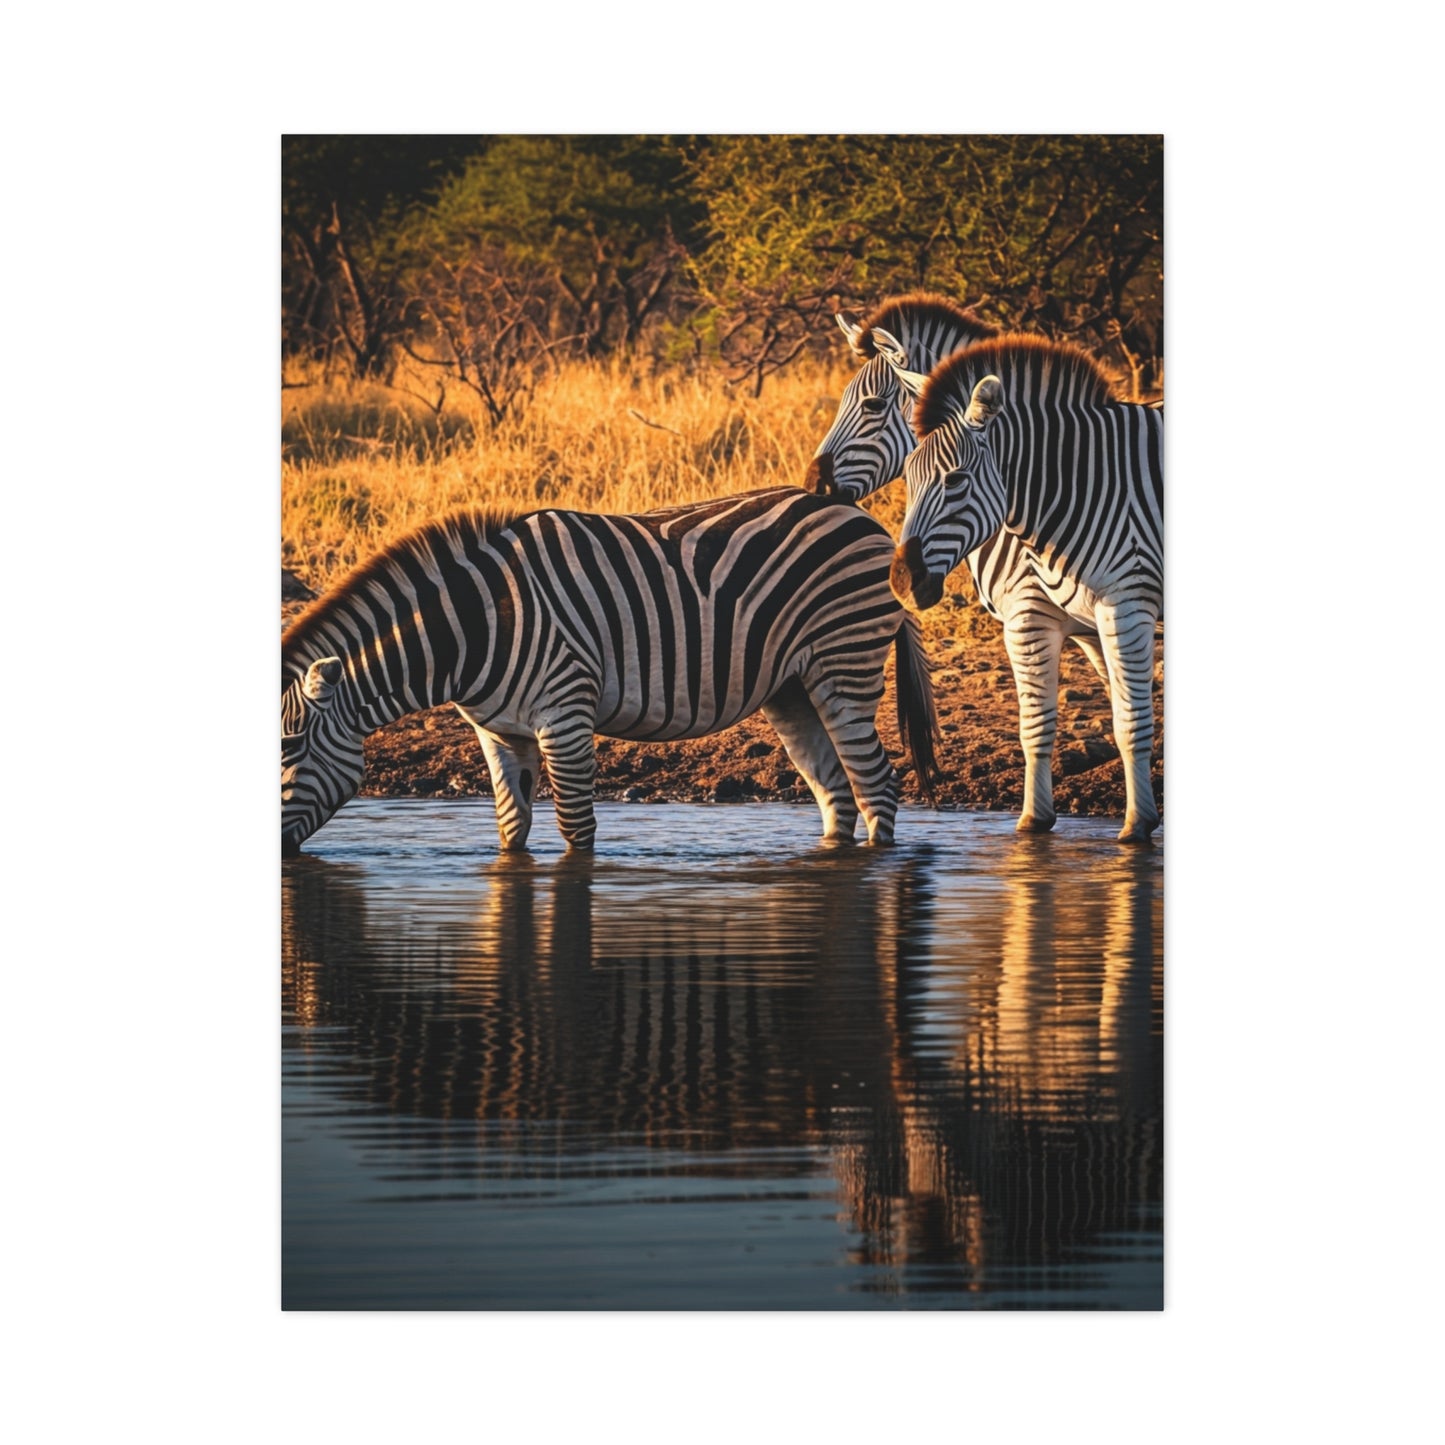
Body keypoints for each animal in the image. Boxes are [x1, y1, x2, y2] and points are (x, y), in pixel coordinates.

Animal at [282, 487, 952, 855]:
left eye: (290, 750)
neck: (478, 624)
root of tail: (866, 520)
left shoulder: (565, 712)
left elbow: (575, 825)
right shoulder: (498, 731)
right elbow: (511, 826)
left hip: (843, 664)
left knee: (876, 784)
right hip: (792, 688)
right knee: (836, 791)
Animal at [880, 335, 1164, 843]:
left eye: (955, 479)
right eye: (908, 477)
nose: (902, 582)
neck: (1082, 485)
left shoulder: (1121, 606)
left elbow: (1131, 721)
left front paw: (1135, 827)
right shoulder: (1067, 621)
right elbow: (1039, 724)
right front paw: (1034, 820)